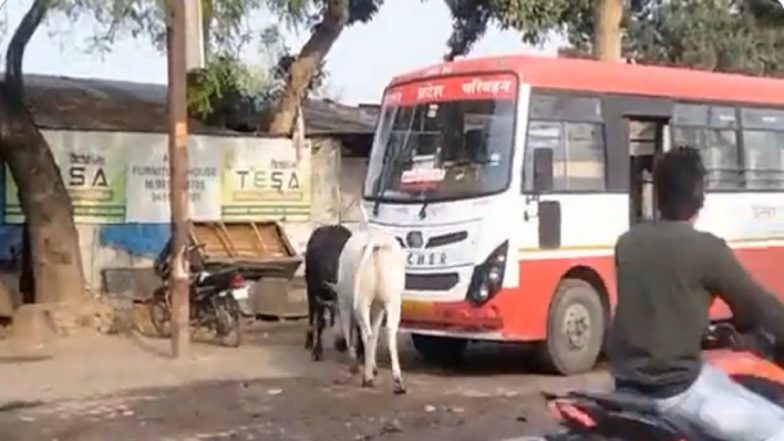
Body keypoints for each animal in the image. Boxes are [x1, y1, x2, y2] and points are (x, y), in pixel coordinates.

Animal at [330, 225, 408, 394]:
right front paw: (372, 365)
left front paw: (356, 365)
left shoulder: (344, 302)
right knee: (390, 334)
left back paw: (368, 378)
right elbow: (377, 332)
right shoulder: (379, 307)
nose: (337, 343)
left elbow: (350, 332)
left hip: (362, 299)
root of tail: (375, 242)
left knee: (367, 334)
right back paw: (398, 381)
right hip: (393, 299)